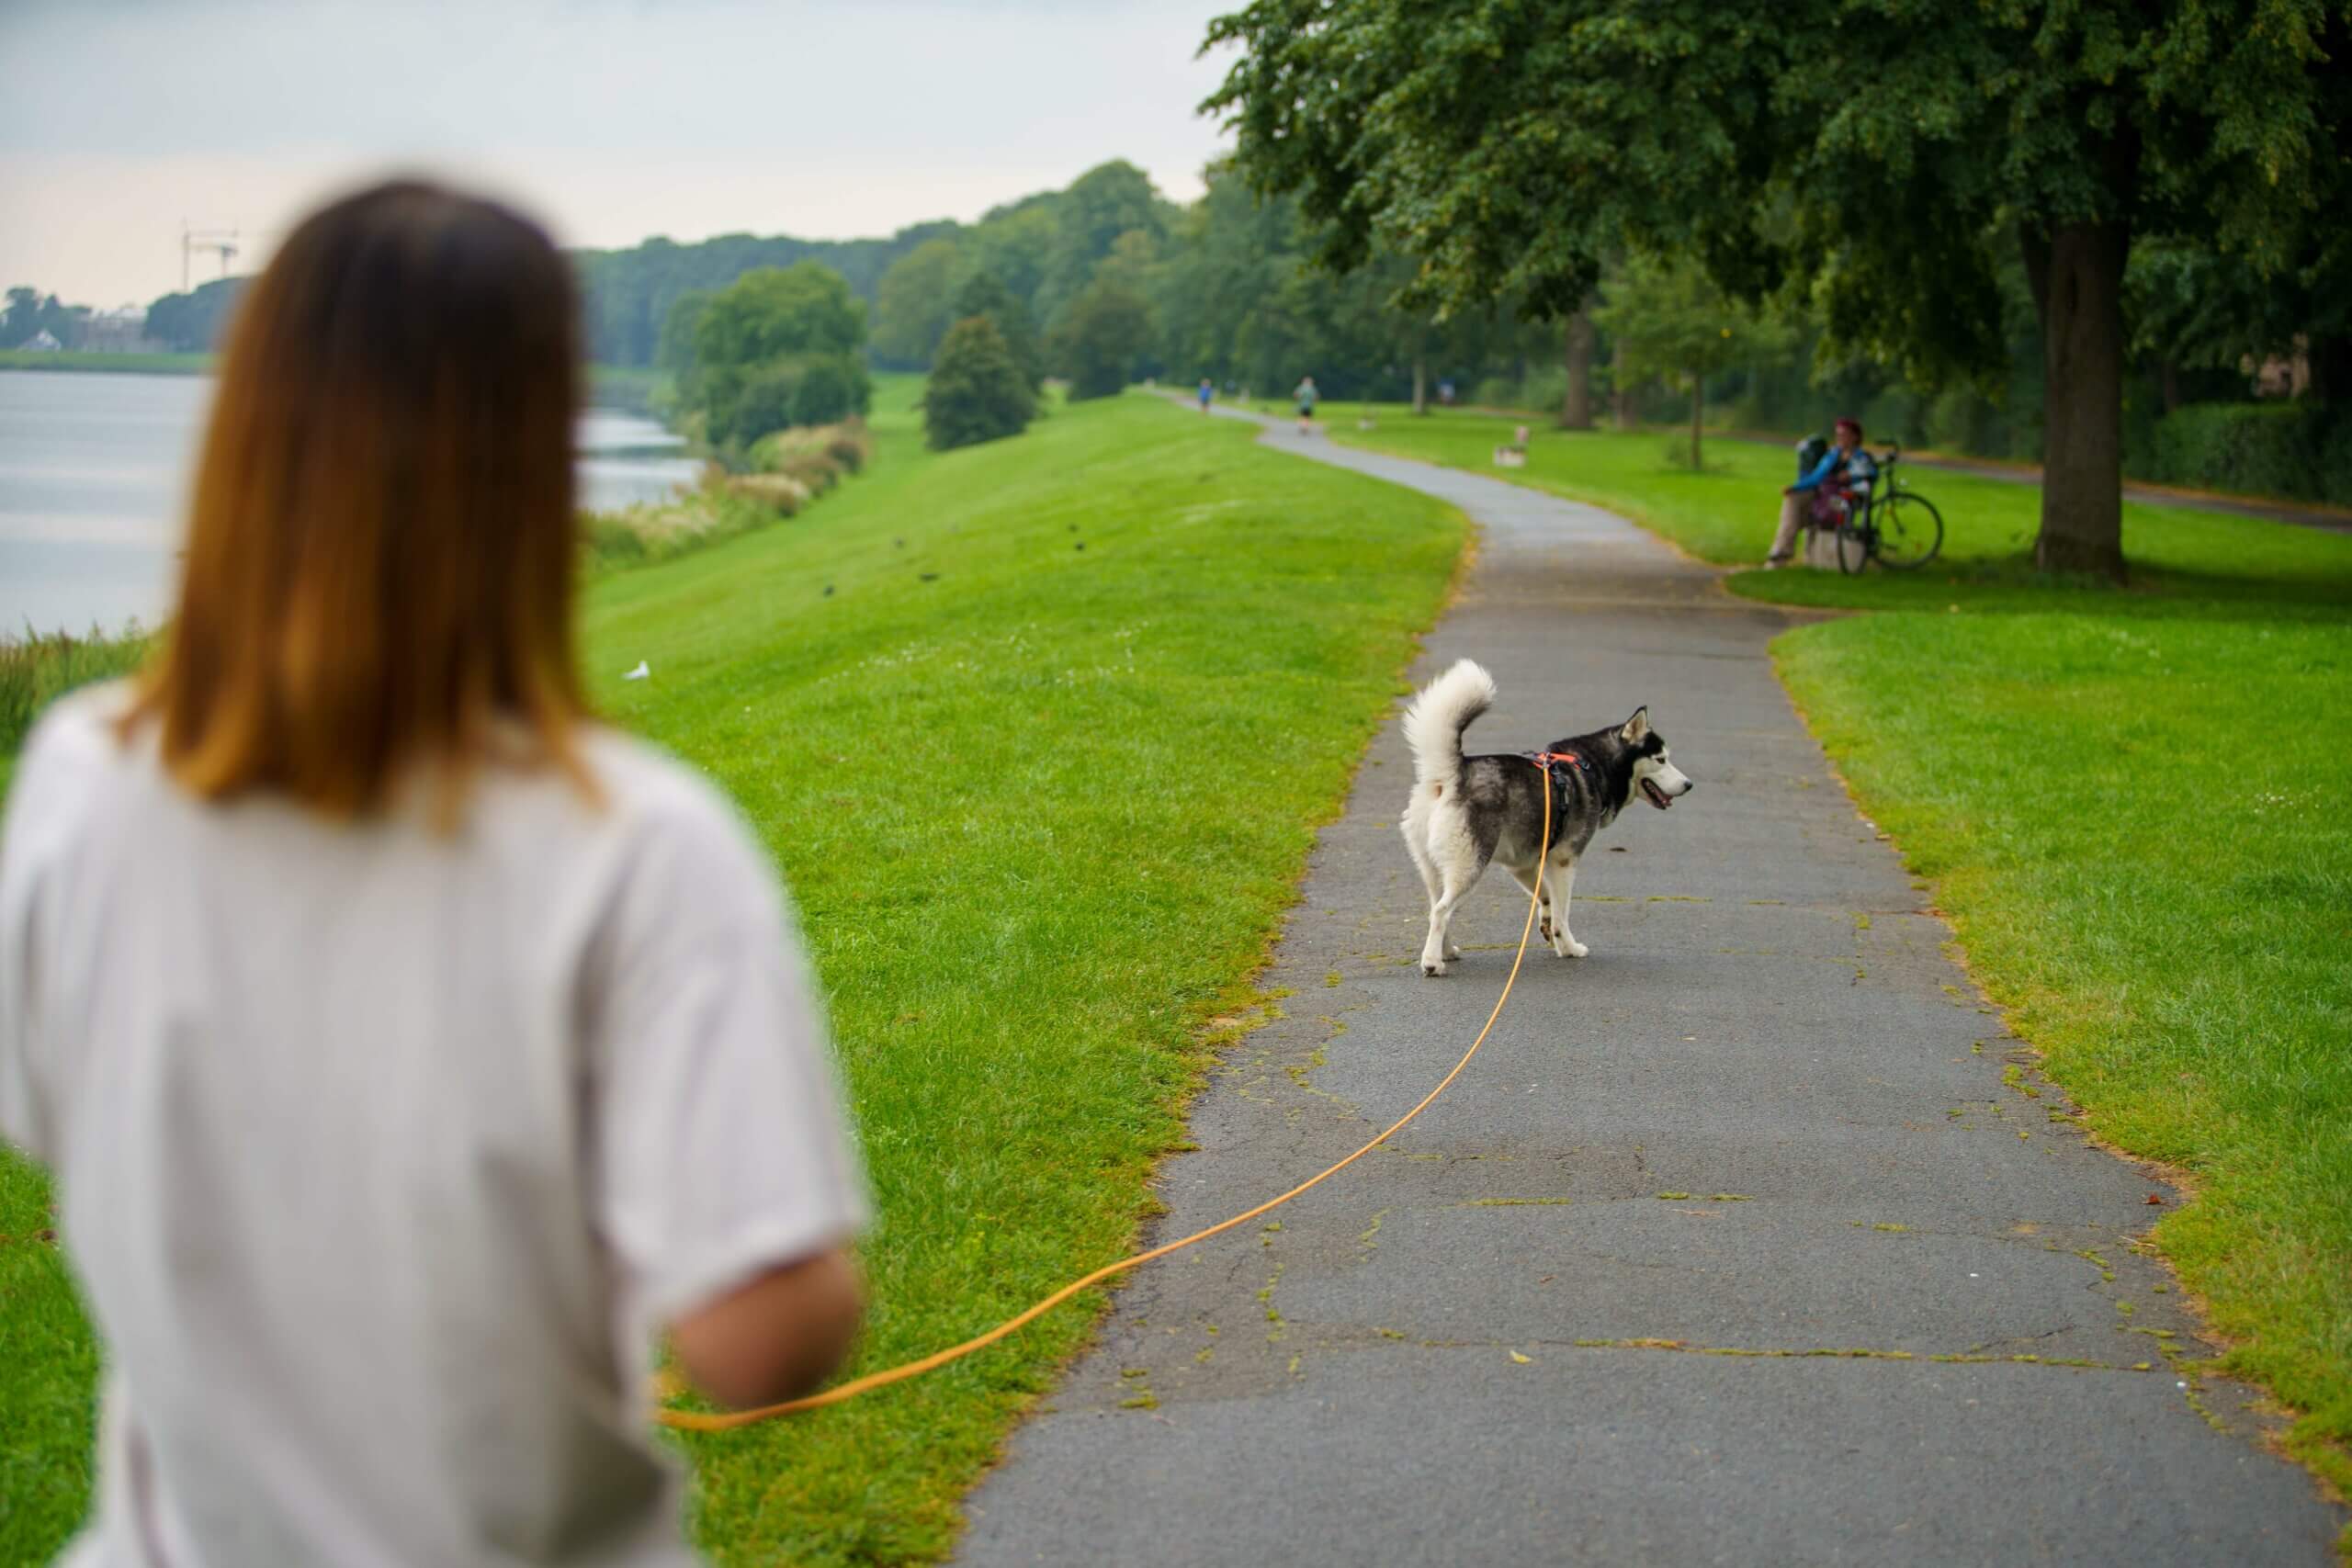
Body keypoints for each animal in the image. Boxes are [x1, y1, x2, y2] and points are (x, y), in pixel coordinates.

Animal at [1392, 662, 1693, 982]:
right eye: (1660, 759)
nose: (1689, 785)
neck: (1590, 766)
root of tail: (1451, 774)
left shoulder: (1523, 862)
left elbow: (1546, 898)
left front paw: (1548, 926)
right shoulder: (1564, 860)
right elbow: (1563, 912)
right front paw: (1569, 947)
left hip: (1436, 869)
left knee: (1435, 908)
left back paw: (1445, 951)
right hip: (1469, 866)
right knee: (1441, 911)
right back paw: (1432, 963)